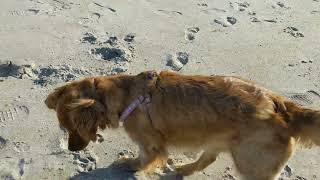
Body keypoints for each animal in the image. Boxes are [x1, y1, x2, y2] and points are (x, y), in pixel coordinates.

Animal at [44, 71, 320, 179]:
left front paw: (129, 165)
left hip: (251, 165)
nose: (71, 150)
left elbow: (143, 160)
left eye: (71, 128)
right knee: (206, 159)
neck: (125, 95)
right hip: (218, 140)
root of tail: (282, 106)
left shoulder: (151, 145)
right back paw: (183, 169)